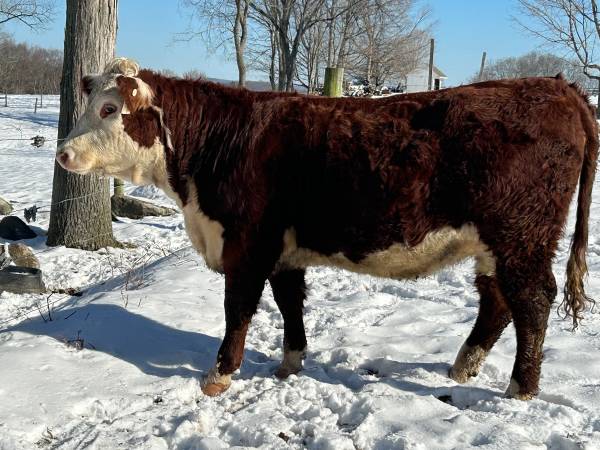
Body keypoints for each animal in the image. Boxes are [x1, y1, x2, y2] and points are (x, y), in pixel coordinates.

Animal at [56, 57, 597, 400]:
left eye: (109, 109)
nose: (63, 152)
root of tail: (559, 86)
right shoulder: (284, 250)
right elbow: (289, 304)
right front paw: (289, 364)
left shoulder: (247, 244)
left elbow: (238, 310)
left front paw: (219, 375)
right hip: (496, 242)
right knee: (498, 300)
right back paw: (464, 367)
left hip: (521, 235)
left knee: (533, 299)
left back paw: (521, 389)